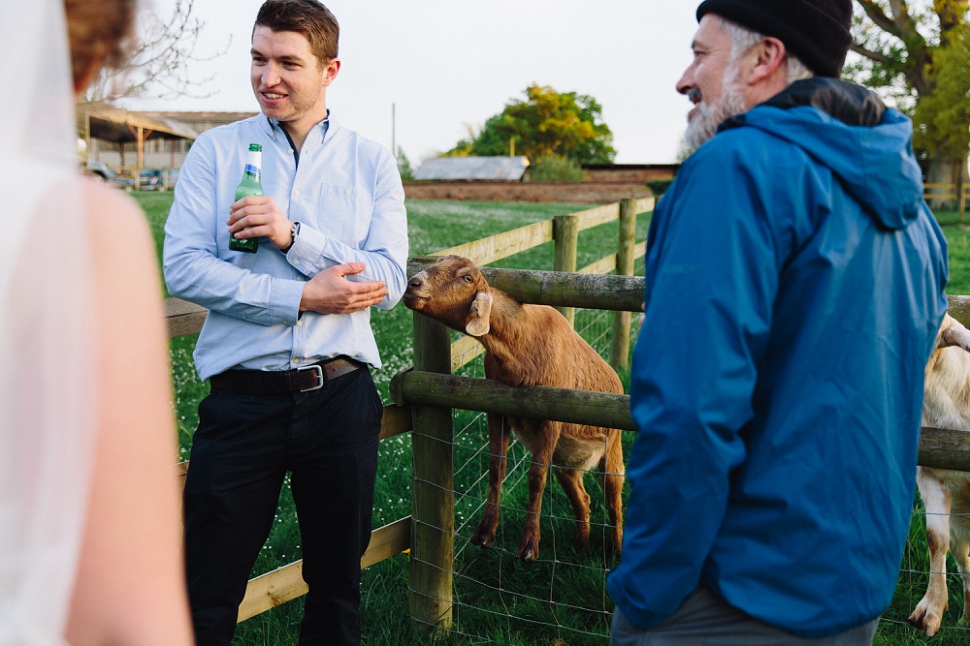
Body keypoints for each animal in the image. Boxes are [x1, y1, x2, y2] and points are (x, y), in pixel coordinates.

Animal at [398, 256, 620, 564]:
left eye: (467, 278)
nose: (413, 284)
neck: (521, 344)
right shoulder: (495, 407)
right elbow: (496, 466)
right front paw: (484, 533)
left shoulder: (550, 415)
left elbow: (536, 477)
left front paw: (529, 546)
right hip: (567, 462)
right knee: (583, 498)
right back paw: (582, 548)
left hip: (612, 449)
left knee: (614, 501)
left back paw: (618, 554)